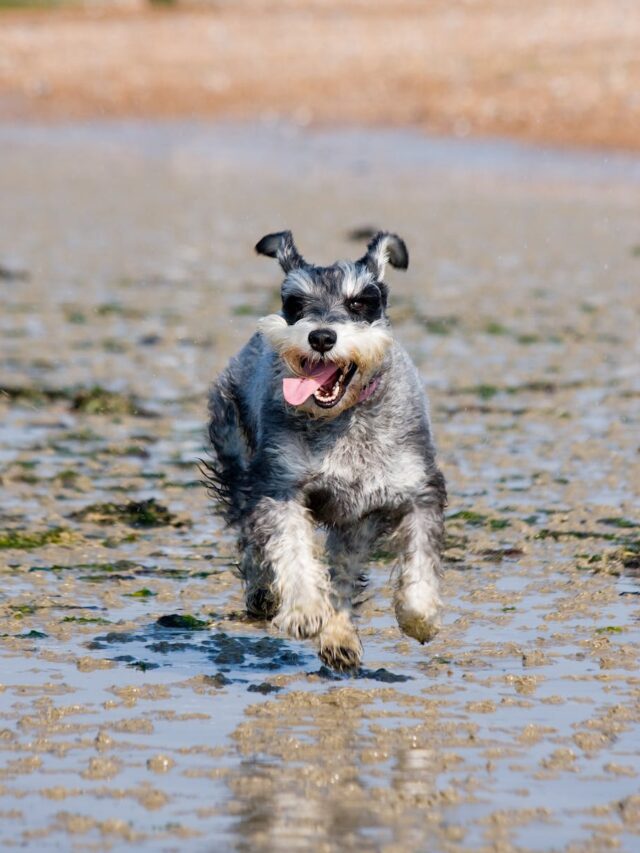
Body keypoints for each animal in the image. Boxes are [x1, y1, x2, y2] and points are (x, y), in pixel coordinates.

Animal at [208, 230, 448, 668]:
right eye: (295, 302)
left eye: (359, 301)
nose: (321, 336)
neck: (343, 419)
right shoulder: (280, 485)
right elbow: (291, 550)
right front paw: (303, 611)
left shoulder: (416, 491)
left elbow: (419, 560)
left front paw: (419, 617)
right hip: (237, 460)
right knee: (251, 537)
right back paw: (265, 594)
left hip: (354, 521)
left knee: (342, 573)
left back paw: (340, 637)